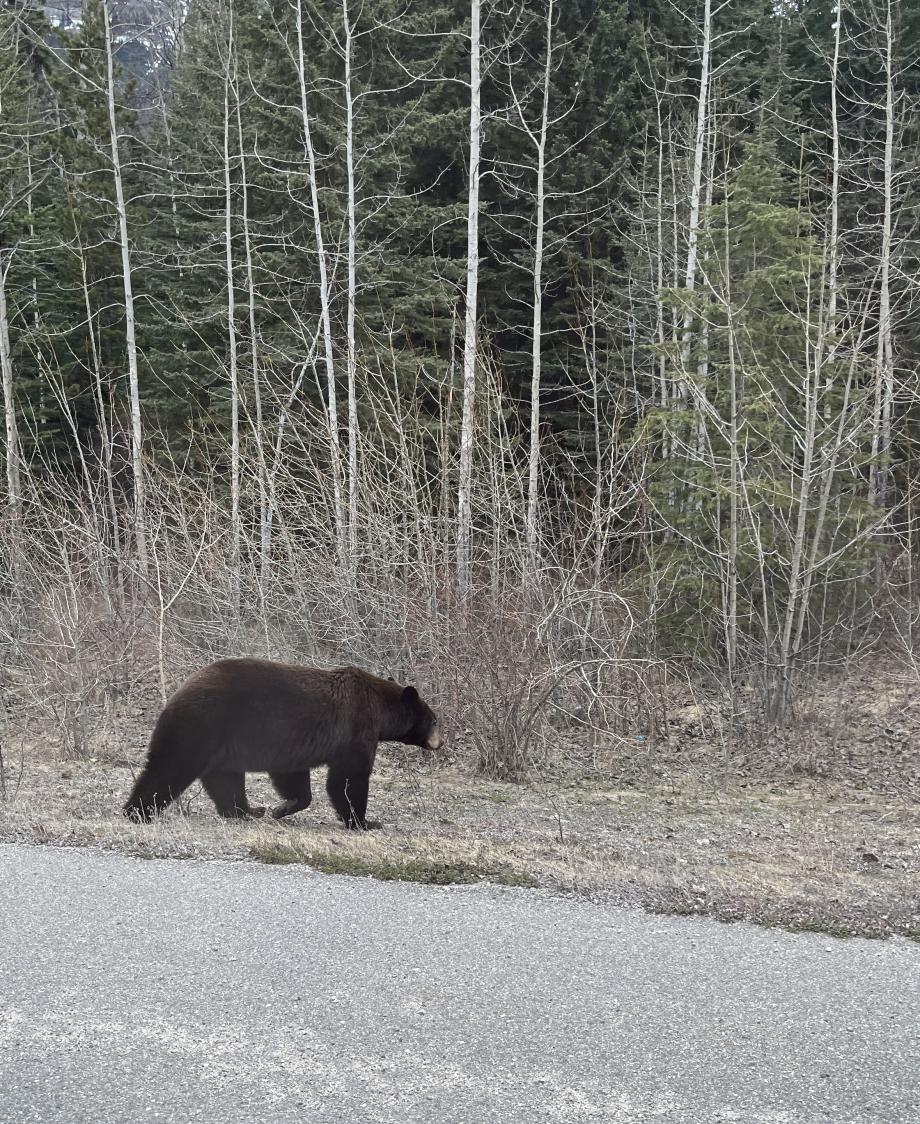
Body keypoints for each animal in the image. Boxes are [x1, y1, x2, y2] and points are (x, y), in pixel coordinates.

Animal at [123, 656, 442, 831]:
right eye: (434, 719)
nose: (440, 742)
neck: (380, 709)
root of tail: (180, 691)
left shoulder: (292, 743)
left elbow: (293, 776)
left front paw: (281, 808)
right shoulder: (356, 729)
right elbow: (348, 778)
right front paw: (364, 822)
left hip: (224, 741)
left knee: (224, 779)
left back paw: (248, 811)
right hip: (202, 724)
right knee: (171, 766)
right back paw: (137, 811)